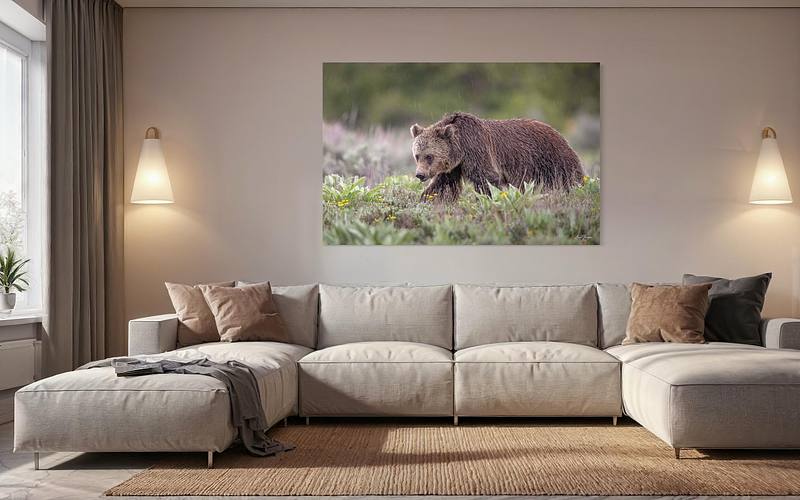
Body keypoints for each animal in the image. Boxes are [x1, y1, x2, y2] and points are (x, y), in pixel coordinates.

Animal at [410, 112, 584, 203]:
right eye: (417, 156)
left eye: (429, 156)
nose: (420, 174)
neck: (460, 148)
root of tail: (556, 131)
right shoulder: (454, 167)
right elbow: (442, 185)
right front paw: (425, 200)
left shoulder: (477, 150)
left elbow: (487, 179)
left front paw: (493, 198)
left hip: (552, 157)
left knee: (570, 177)